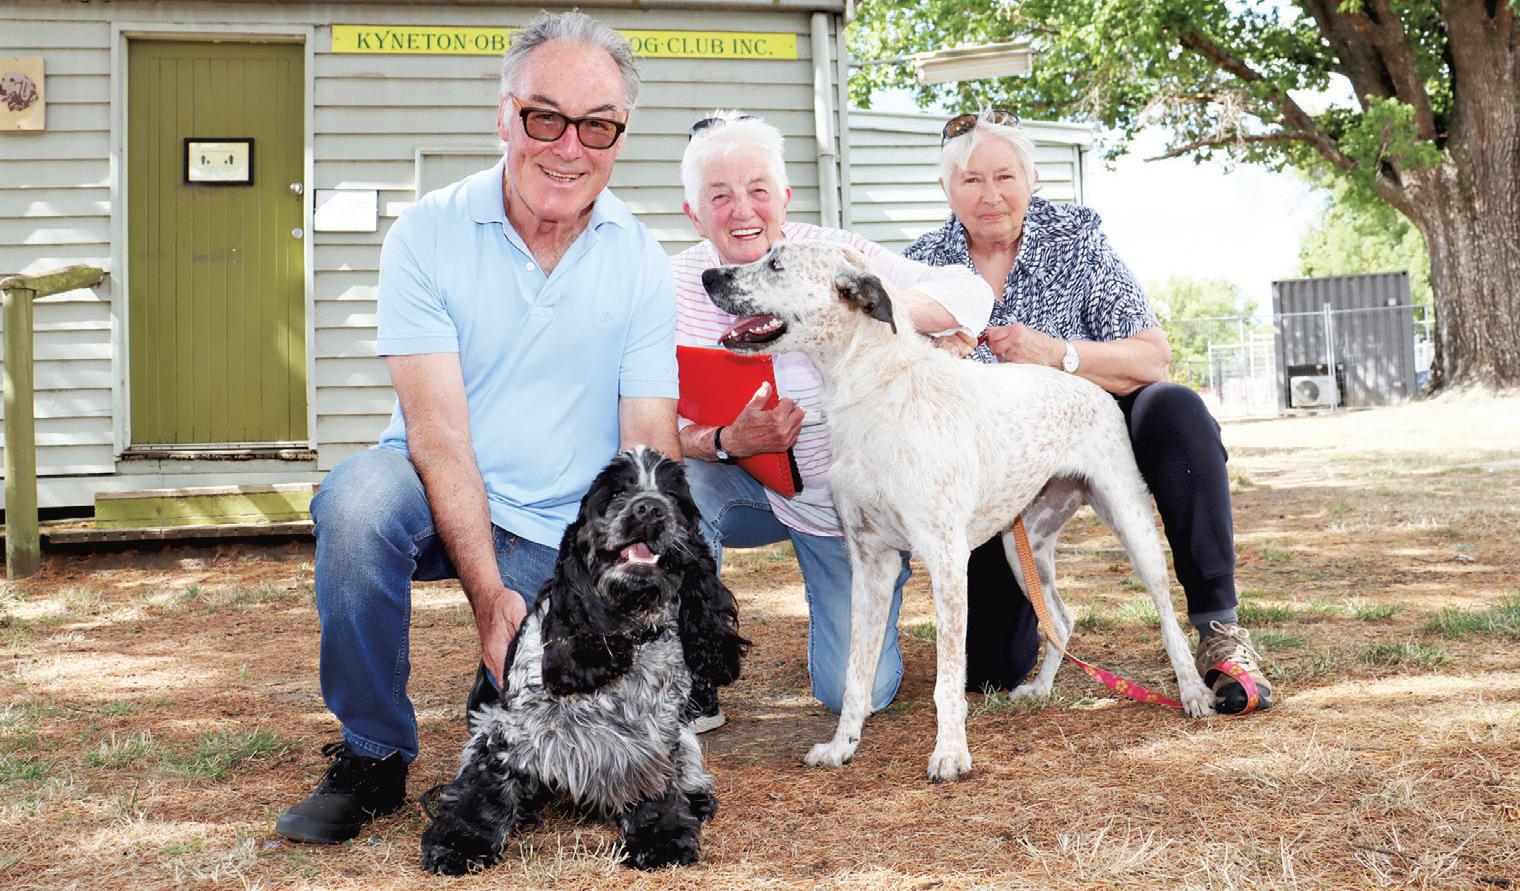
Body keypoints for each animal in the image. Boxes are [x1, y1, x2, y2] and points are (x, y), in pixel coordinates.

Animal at [419, 447, 749, 874]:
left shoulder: (655, 737)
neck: (628, 631)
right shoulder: (509, 731)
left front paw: (661, 839)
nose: (650, 508)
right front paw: (460, 844)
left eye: (675, 498)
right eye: (614, 493)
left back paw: (697, 800)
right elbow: (484, 788)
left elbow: (656, 784)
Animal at [701, 241, 1214, 783]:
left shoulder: (947, 561)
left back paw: (1193, 692)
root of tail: (1092, 388)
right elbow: (856, 676)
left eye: (776, 263)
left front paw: (950, 752)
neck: (874, 389)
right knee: (1062, 618)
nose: (708, 275)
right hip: (1023, 548)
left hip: (1131, 525)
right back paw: (1041, 689)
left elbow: (948, 680)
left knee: (1167, 615)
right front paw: (843, 745)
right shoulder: (870, 564)